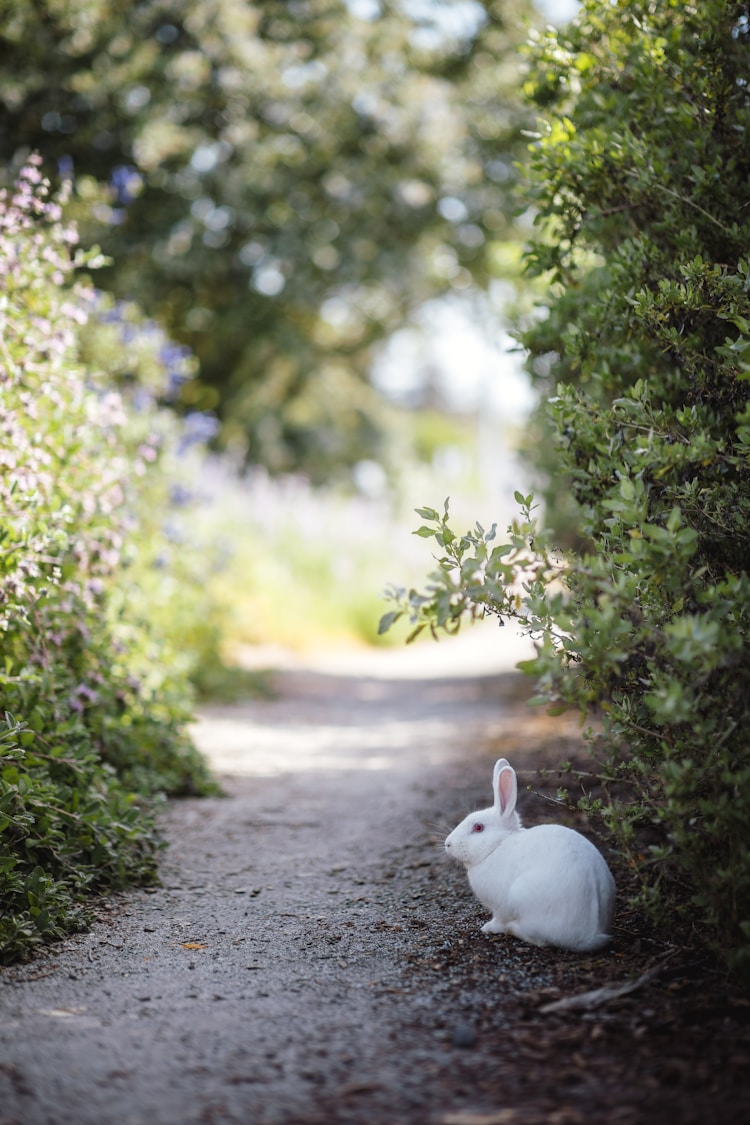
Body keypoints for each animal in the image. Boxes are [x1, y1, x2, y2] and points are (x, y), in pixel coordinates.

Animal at [445, 756, 616, 949]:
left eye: (478, 827)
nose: (447, 844)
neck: (497, 846)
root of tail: (590, 935)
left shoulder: (500, 907)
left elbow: (498, 919)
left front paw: (488, 928)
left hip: (522, 898)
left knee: (539, 940)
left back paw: (512, 929)